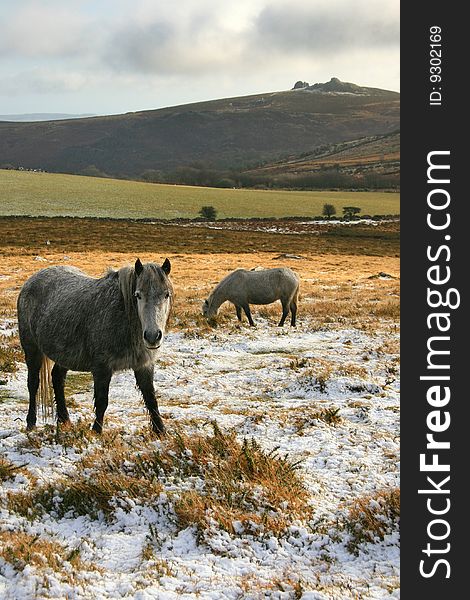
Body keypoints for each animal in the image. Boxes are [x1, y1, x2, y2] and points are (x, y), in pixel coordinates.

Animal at [17, 258, 174, 436]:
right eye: (138, 295)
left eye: (166, 294)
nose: (152, 336)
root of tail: (31, 281)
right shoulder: (101, 368)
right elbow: (101, 401)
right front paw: (96, 431)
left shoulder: (144, 366)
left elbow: (151, 399)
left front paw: (161, 431)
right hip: (32, 350)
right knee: (33, 384)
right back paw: (31, 423)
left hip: (64, 354)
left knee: (57, 378)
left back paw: (65, 420)